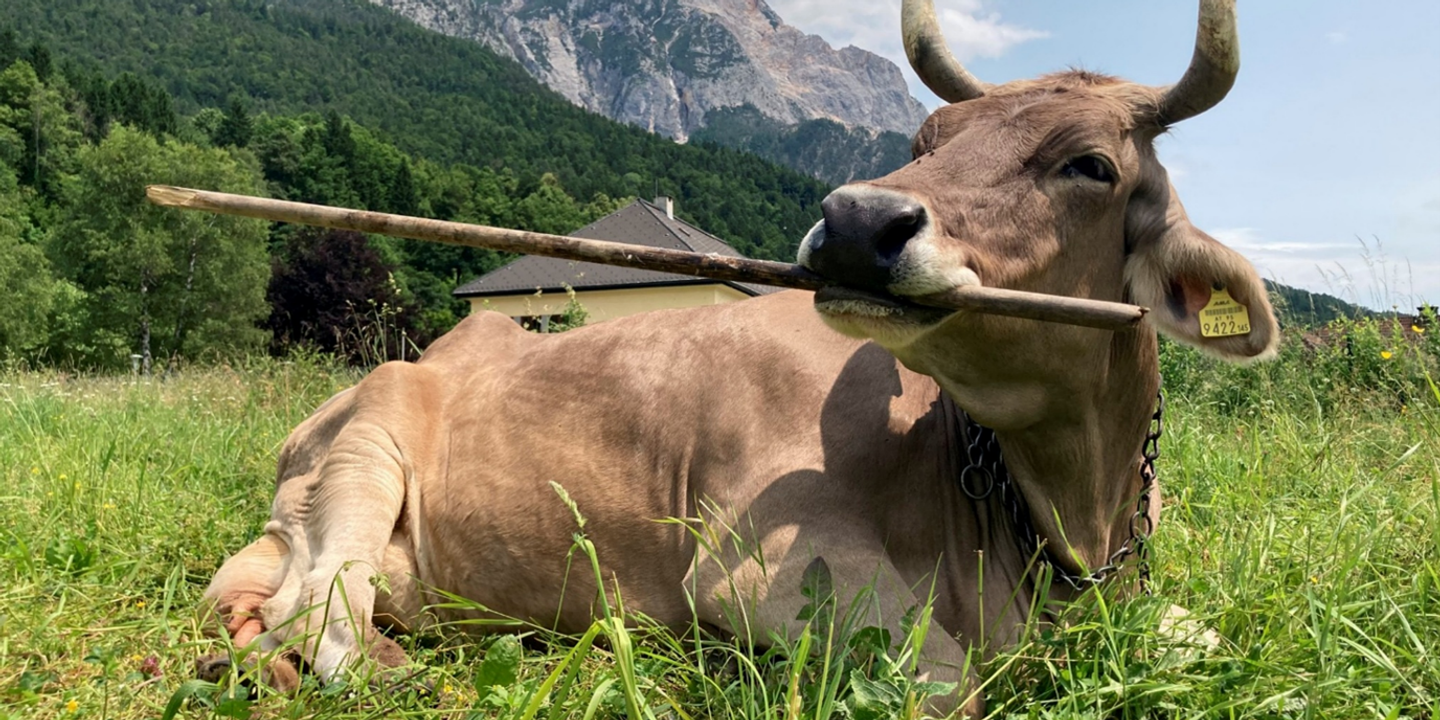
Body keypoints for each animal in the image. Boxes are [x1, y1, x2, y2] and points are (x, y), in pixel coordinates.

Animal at [197, 0, 1276, 715]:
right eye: (927, 135)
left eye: (1090, 165)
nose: (857, 220)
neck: (1065, 522)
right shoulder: (758, 572)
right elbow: (950, 686)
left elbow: (1212, 636)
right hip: (367, 450)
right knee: (320, 622)